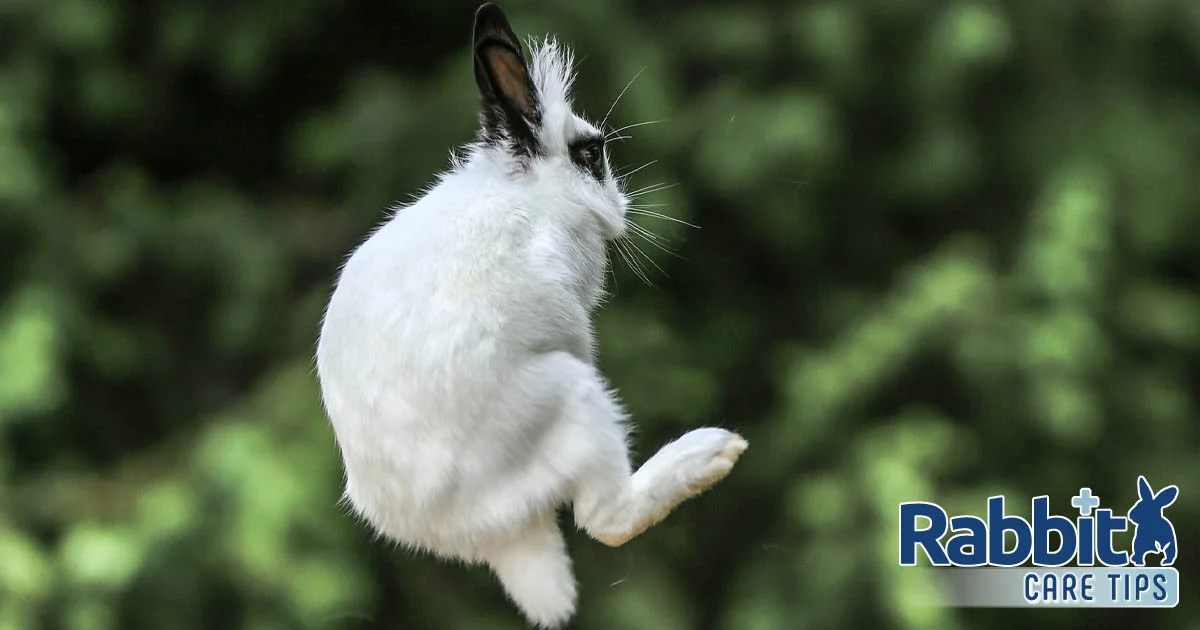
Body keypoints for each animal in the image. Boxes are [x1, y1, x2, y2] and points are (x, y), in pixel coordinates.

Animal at [316, 3, 748, 624]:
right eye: (590, 154)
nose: (621, 206)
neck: (533, 194)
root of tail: (487, 531)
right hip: (574, 400)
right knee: (606, 519)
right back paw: (712, 451)